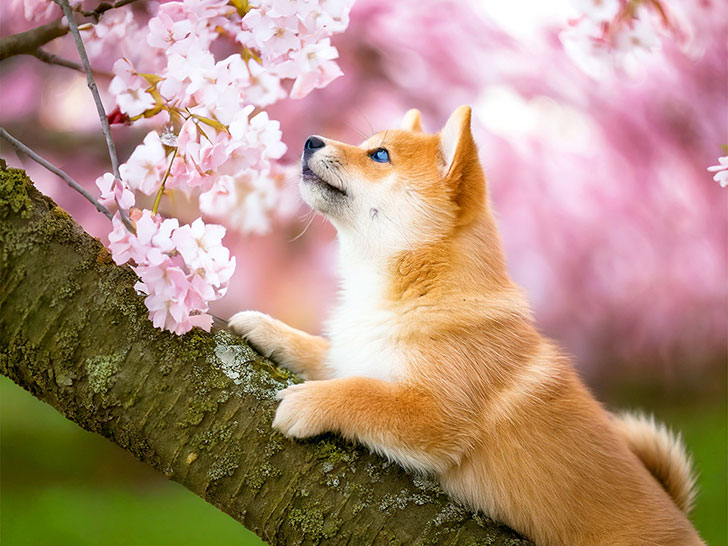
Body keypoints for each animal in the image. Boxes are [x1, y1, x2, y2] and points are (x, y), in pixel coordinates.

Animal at [229, 106, 704, 544]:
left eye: (379, 155)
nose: (310, 140)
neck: (415, 291)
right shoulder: (356, 356)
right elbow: (323, 355)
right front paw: (265, 327)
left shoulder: (434, 414)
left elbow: (362, 393)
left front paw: (309, 401)